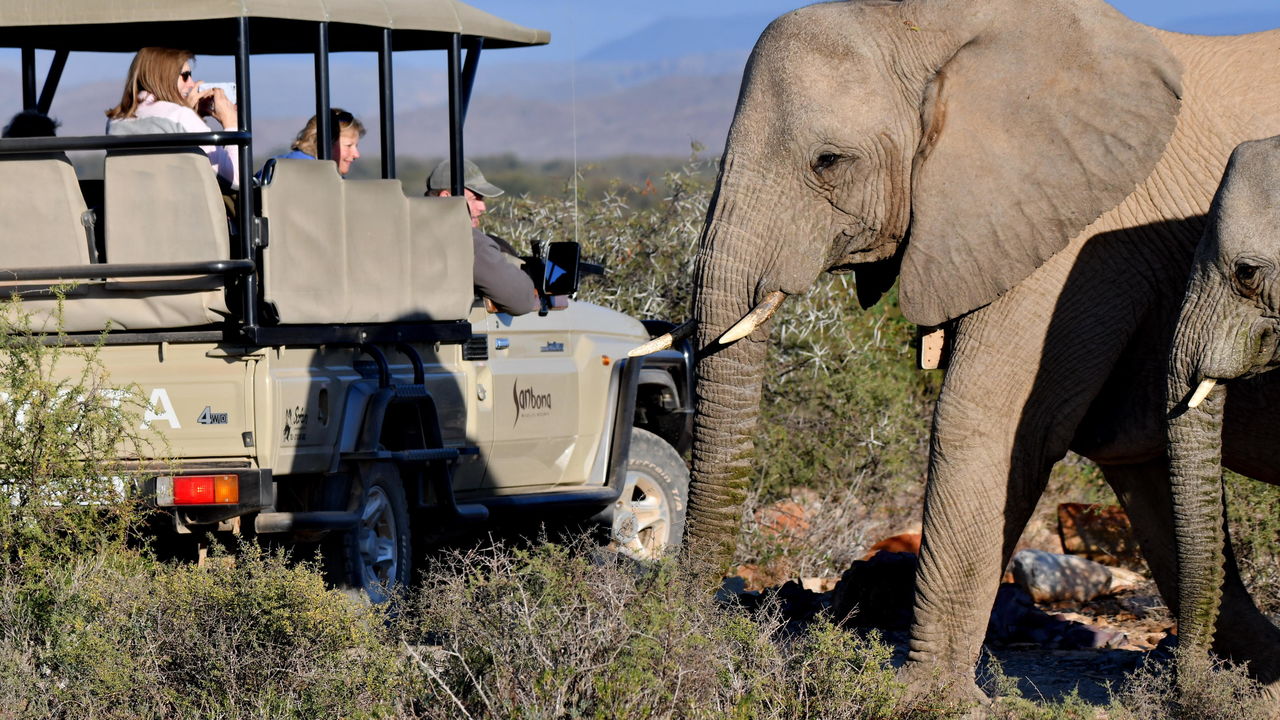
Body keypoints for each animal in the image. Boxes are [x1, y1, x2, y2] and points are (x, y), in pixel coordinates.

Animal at [665, 0, 1280, 702]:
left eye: (828, 162)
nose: (699, 631)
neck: (936, 23)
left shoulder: (1079, 230)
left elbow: (990, 421)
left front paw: (921, 698)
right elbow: (1133, 450)